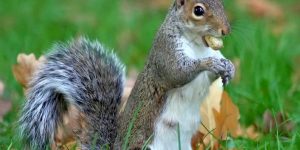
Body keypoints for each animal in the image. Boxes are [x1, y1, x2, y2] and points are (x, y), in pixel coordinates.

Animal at [18, 0, 234, 150]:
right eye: (198, 10)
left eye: (222, 3)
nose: (226, 30)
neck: (198, 44)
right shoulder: (165, 52)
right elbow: (177, 72)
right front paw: (209, 63)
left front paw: (229, 68)